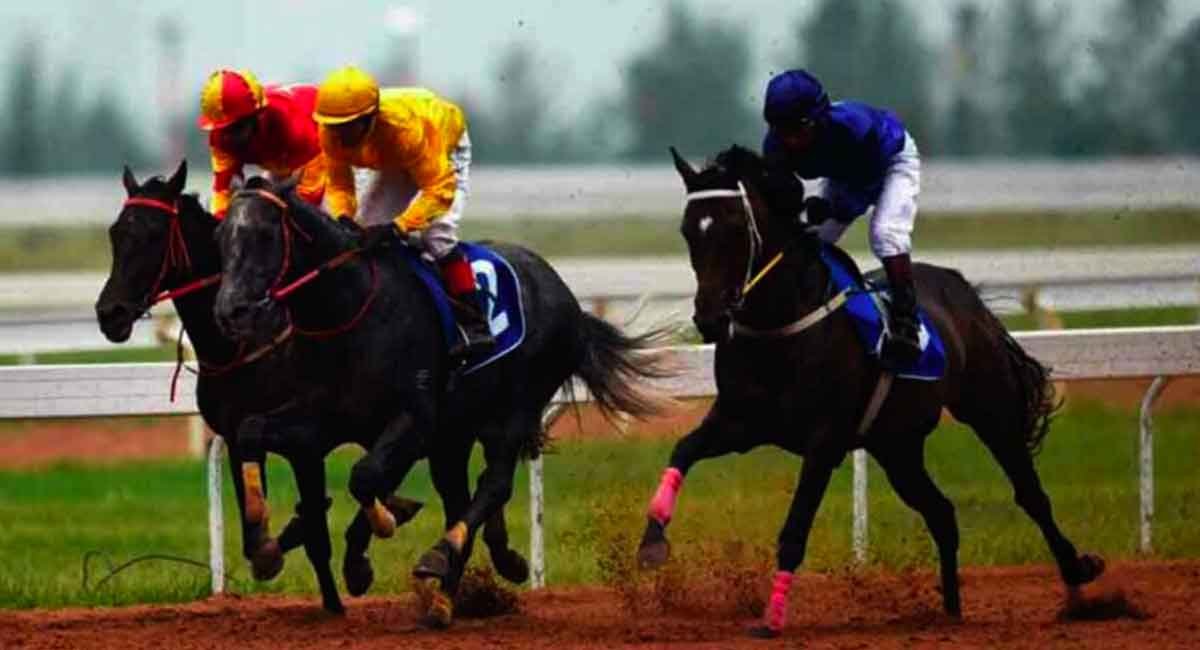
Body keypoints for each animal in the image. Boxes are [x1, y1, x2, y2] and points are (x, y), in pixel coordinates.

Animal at [94, 162, 524, 614]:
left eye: (153, 235)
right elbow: (265, 521)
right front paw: (283, 556)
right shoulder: (238, 434)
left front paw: (333, 588)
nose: (110, 313)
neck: (244, 346)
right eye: (116, 234)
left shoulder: (306, 442)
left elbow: (317, 525)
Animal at [213, 176, 672, 627]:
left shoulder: (414, 421)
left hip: (514, 412)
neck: (350, 309)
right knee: (461, 500)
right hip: (454, 438)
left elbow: (365, 477)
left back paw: (442, 557)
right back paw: (452, 594)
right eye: (222, 234)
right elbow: (252, 431)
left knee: (493, 485)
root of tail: (565, 295)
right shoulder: (323, 419)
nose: (230, 311)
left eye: (265, 234)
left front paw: (372, 541)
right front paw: (265, 544)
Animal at [634, 145, 1105, 638]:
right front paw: (652, 541)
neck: (781, 324)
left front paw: (773, 616)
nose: (709, 319)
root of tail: (963, 289)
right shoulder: (740, 422)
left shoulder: (824, 441)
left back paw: (1076, 574)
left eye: (733, 227)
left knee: (1029, 494)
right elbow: (683, 450)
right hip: (897, 447)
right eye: (689, 231)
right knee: (942, 513)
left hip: (987, 408)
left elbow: (795, 530)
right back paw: (950, 609)